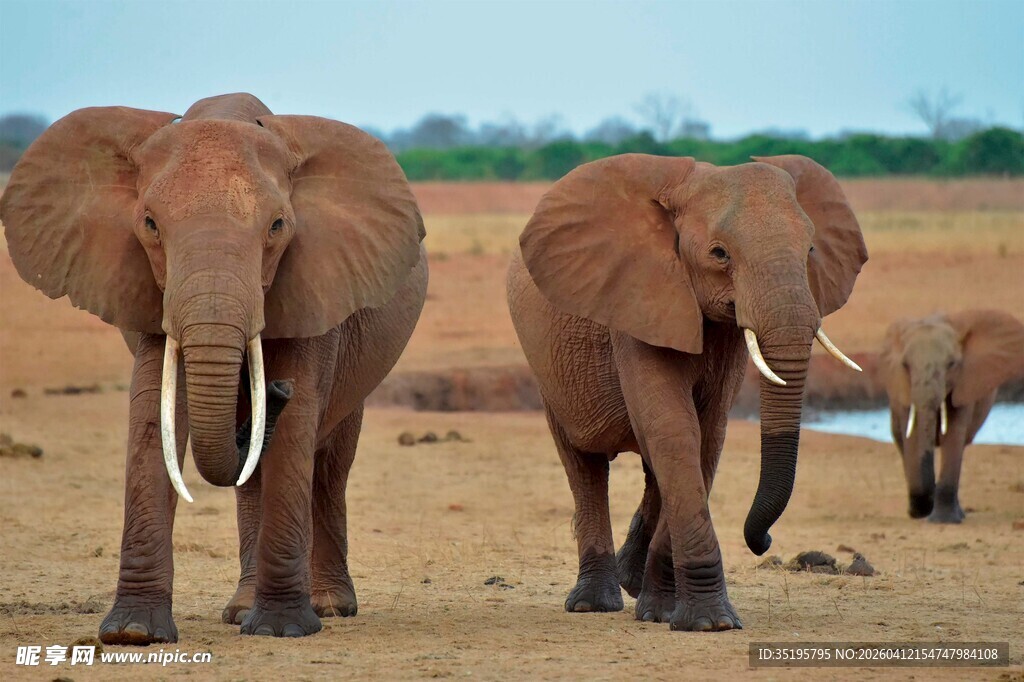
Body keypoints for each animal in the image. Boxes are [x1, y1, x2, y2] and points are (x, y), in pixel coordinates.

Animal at [0, 93, 428, 642]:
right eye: (150, 224)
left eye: (277, 226)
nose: (278, 390)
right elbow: (153, 412)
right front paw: (133, 633)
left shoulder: (313, 280)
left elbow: (298, 424)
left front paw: (282, 630)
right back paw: (241, 610)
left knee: (330, 460)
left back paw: (329, 606)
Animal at [507, 154, 867, 631]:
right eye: (719, 253)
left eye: (810, 250)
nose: (764, 541)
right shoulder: (639, 299)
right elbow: (674, 430)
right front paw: (710, 624)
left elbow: (707, 436)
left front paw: (664, 612)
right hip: (549, 372)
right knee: (584, 464)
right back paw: (593, 603)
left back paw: (631, 581)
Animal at [879, 310, 1024, 523]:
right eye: (905, 365)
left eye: (952, 364)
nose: (924, 508)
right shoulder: (903, 392)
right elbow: (912, 437)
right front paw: (921, 513)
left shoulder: (965, 386)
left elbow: (954, 435)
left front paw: (944, 520)